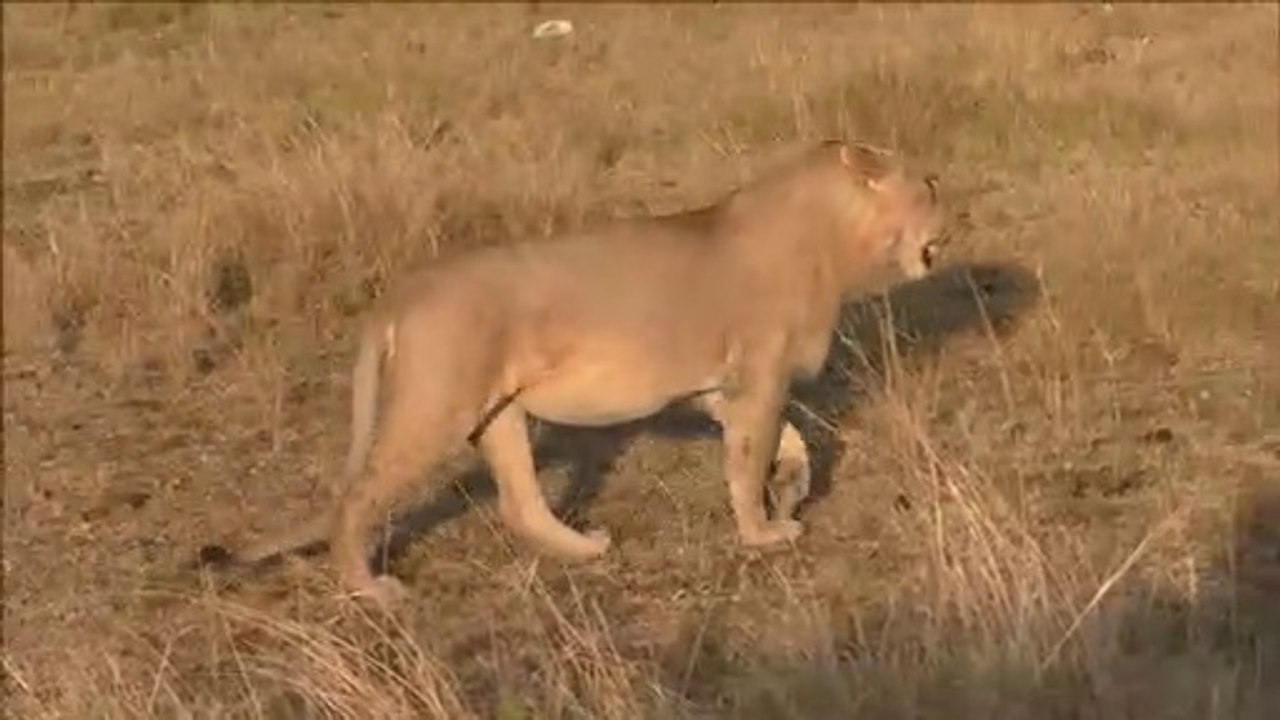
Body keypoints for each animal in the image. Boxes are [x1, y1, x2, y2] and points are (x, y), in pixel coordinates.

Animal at [219, 140, 949, 607]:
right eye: (928, 188)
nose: (948, 198)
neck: (833, 236)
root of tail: (399, 293)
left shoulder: (722, 389)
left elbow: (786, 440)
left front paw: (792, 487)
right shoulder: (757, 378)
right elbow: (750, 461)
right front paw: (764, 533)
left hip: (500, 410)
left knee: (518, 501)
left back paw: (583, 548)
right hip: (436, 406)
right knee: (356, 499)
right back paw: (368, 588)